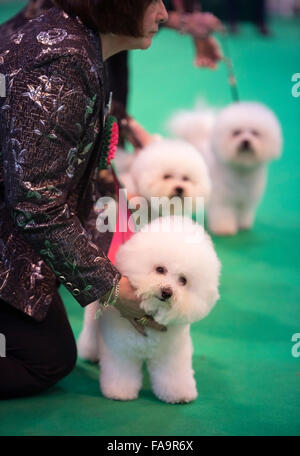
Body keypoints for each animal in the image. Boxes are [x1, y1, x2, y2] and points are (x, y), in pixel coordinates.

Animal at [77, 216, 220, 404]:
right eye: (160, 269)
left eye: (183, 280)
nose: (166, 292)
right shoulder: (121, 350)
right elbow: (121, 372)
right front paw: (119, 392)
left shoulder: (171, 353)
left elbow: (173, 375)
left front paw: (178, 394)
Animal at [169, 101, 284, 233]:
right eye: (236, 132)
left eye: (255, 133)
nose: (246, 141)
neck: (241, 170)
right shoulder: (222, 200)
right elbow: (223, 213)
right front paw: (224, 228)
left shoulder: (245, 200)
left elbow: (243, 212)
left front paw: (243, 224)